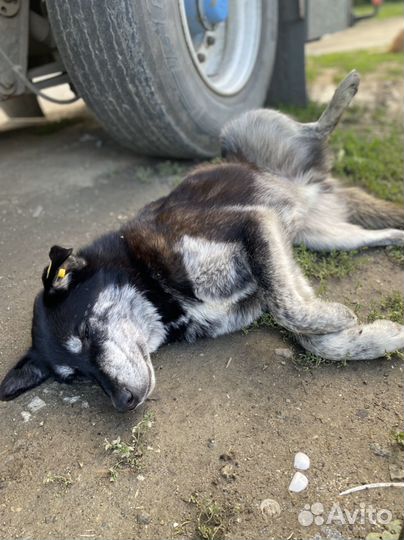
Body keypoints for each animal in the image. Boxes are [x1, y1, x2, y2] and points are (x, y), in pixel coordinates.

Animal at [0, 70, 404, 410]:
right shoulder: (275, 260)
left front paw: (342, 320)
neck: (149, 282)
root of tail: (311, 183)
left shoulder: (254, 224)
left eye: (84, 334)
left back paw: (343, 94)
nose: (122, 402)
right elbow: (308, 332)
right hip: (322, 236)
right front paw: (375, 336)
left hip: (237, 130)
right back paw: (396, 235)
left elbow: (289, 309)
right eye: (75, 377)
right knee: (373, 235)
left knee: (314, 129)